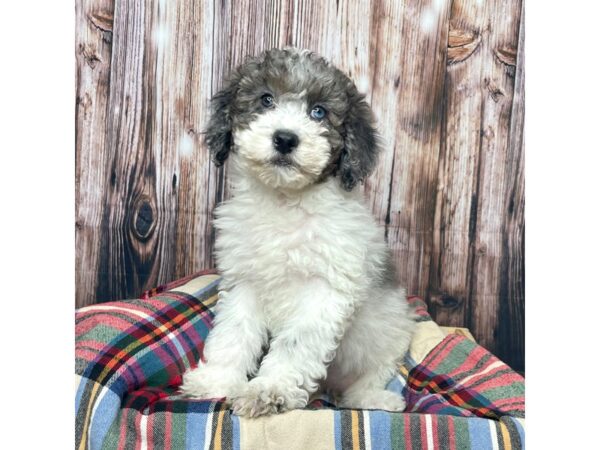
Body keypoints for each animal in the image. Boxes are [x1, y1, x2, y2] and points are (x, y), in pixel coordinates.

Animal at [182, 47, 418, 416]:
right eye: (266, 99)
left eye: (318, 112)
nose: (285, 138)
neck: (285, 203)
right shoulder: (245, 282)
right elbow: (233, 331)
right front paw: (217, 380)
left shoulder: (323, 290)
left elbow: (296, 345)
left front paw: (269, 390)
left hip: (394, 332)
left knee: (371, 375)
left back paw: (375, 399)